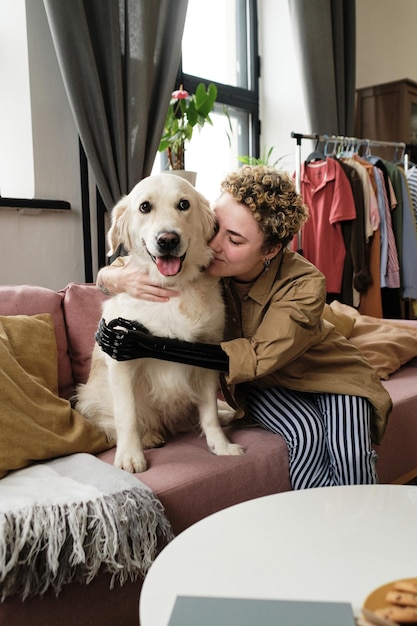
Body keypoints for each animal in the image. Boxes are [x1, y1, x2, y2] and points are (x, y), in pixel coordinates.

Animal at [76, 173, 242, 470]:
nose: (168, 240)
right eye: (145, 207)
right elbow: (127, 415)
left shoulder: (207, 358)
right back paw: (149, 436)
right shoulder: (121, 359)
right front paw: (130, 456)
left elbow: (209, 411)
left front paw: (220, 446)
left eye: (184, 204)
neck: (171, 288)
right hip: (90, 395)